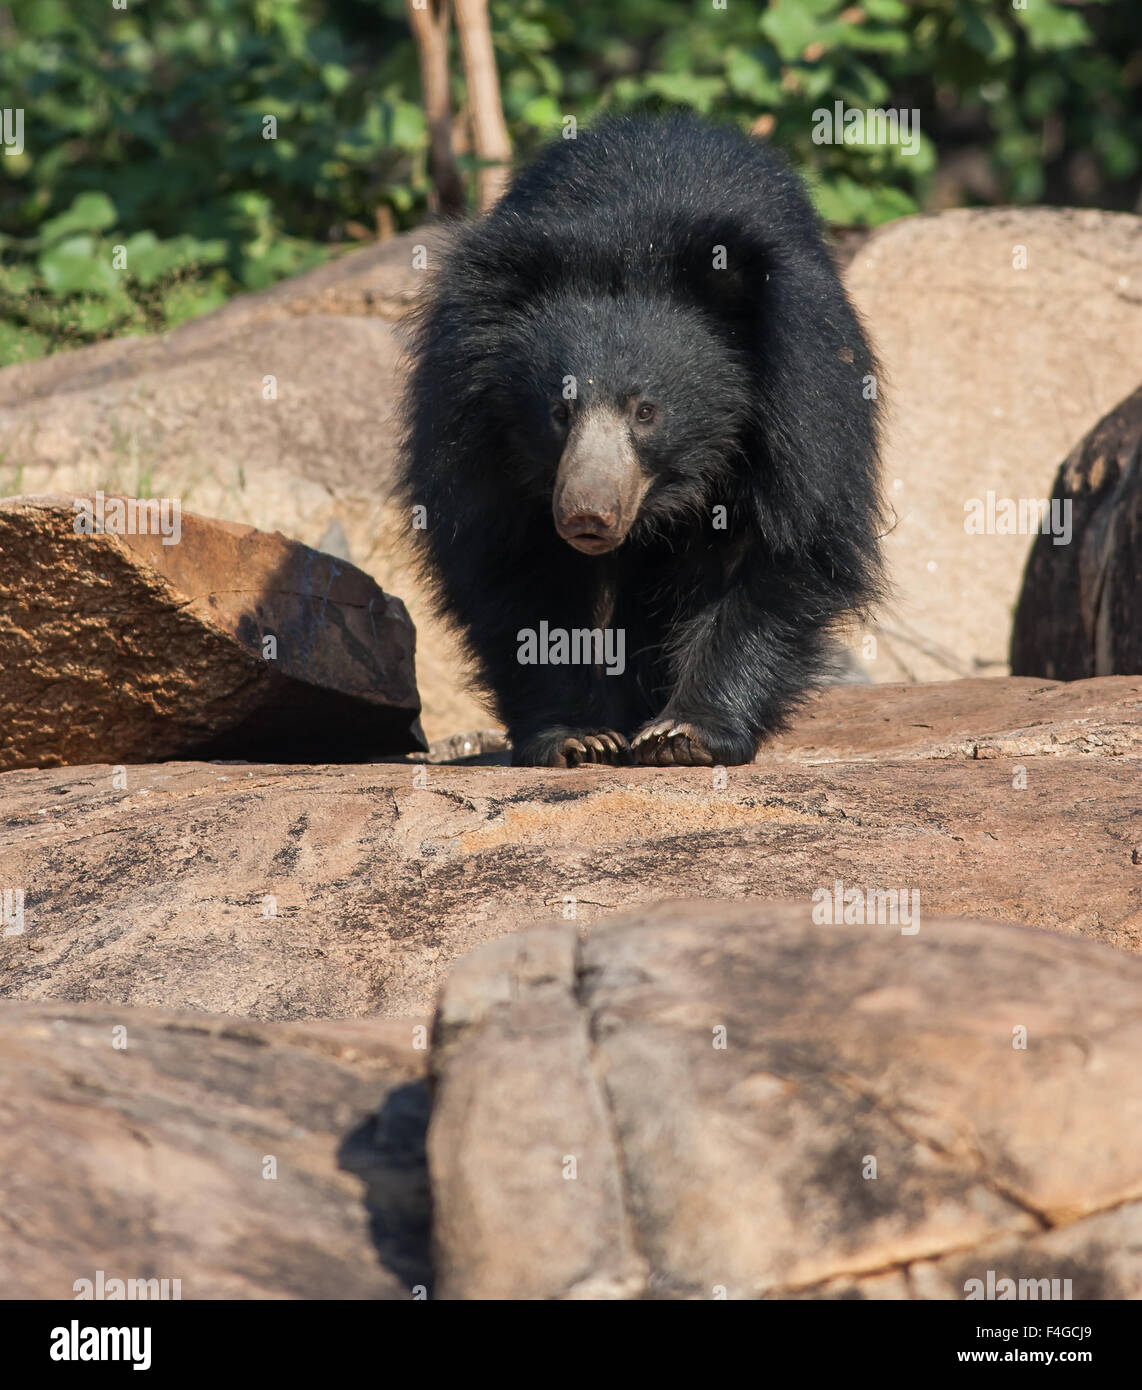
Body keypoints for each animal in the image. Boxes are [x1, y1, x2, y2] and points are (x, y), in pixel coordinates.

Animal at [400, 116, 883, 772]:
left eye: (646, 412)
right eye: (559, 412)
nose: (587, 515)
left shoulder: (802, 405)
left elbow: (782, 546)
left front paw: (685, 733)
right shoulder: (469, 423)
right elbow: (511, 563)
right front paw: (578, 737)